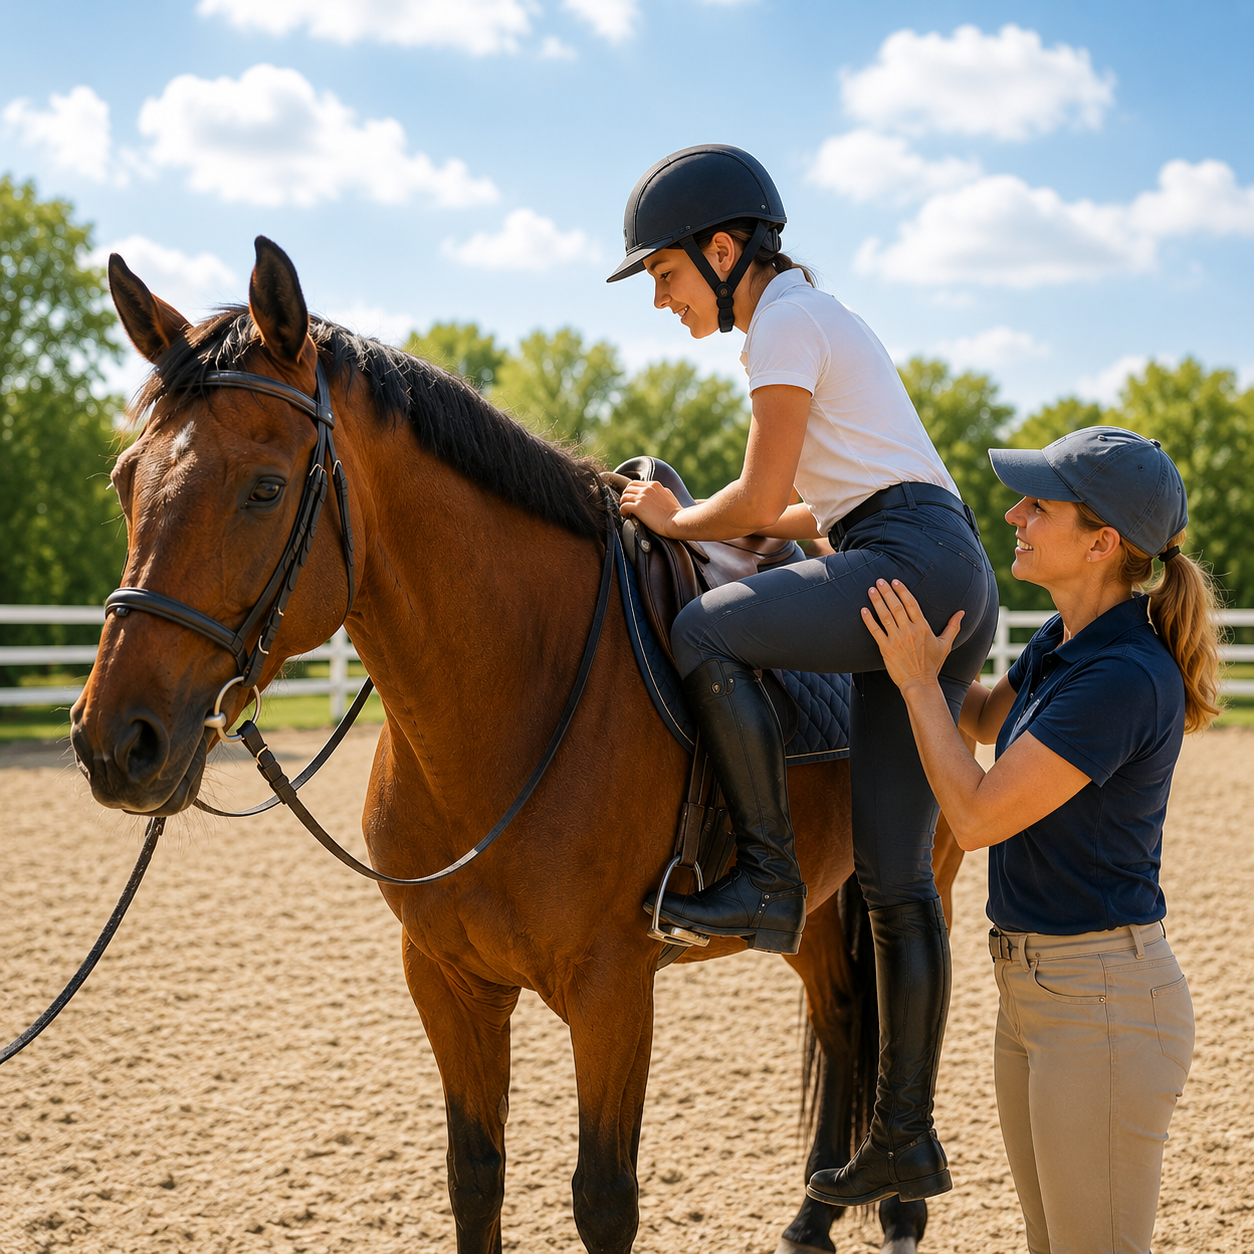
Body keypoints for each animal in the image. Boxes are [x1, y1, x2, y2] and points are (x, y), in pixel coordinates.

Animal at [70, 237, 965, 1254]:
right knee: (846, 1013)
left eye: (263, 488)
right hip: (812, 899)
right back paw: (814, 1215)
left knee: (905, 987)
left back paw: (898, 1201)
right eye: (126, 481)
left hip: (916, 873)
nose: (115, 742)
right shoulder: (447, 982)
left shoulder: (612, 993)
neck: (512, 706)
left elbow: (604, 1198)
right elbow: (475, 1176)